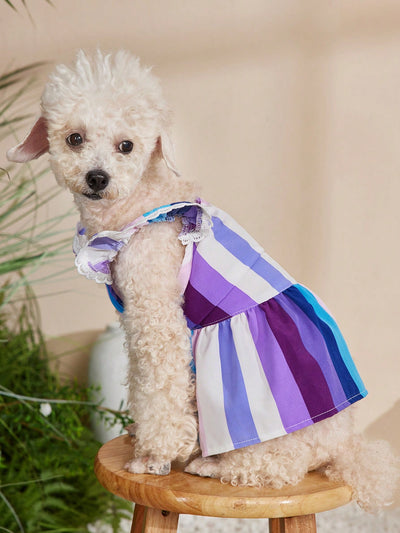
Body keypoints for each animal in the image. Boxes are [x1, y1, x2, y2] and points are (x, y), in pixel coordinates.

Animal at [7, 51, 398, 512]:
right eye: (74, 138)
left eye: (127, 146)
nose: (97, 178)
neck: (136, 206)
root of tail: (346, 444)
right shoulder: (138, 321)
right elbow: (147, 384)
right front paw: (146, 441)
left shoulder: (157, 318)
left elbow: (160, 389)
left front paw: (153, 457)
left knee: (279, 466)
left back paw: (211, 465)